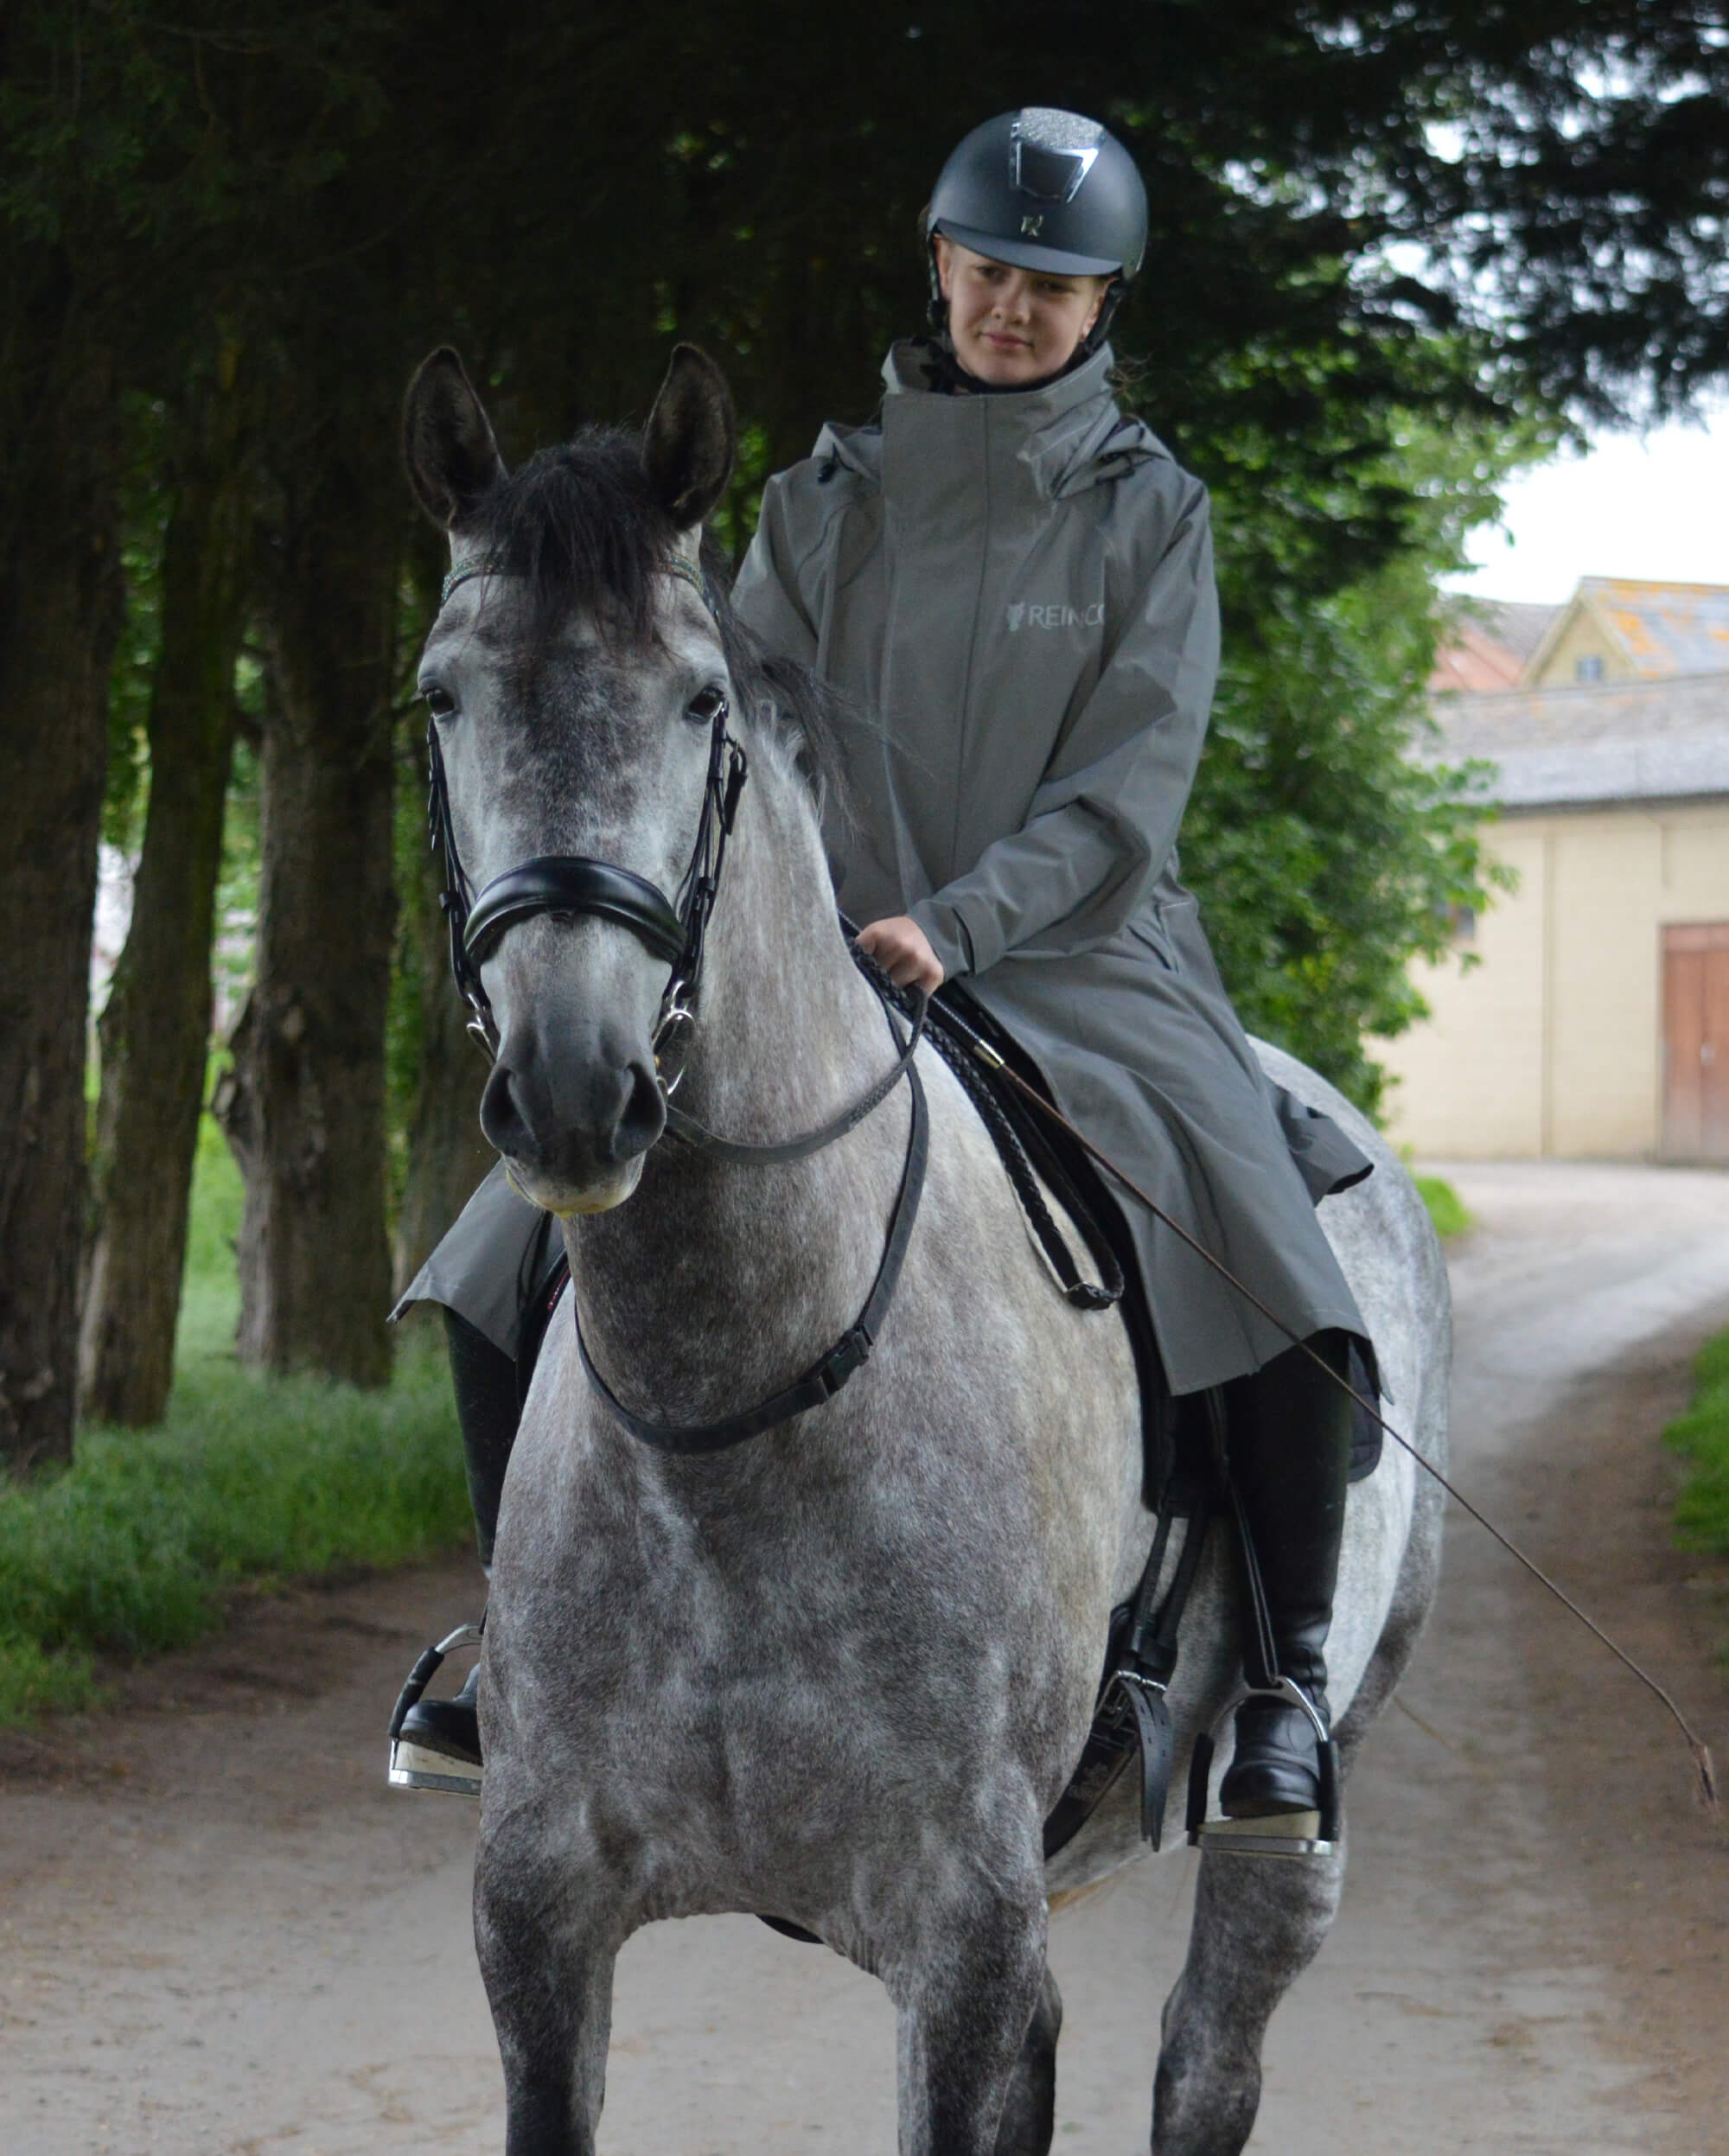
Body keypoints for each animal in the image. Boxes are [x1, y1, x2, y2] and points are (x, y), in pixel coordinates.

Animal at [400, 341, 1439, 2156]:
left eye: (703, 703)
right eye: (445, 698)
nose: (574, 1089)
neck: (734, 1408)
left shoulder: (958, 1932)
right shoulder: (536, 1911)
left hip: (1291, 1818)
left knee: (1210, 2053)